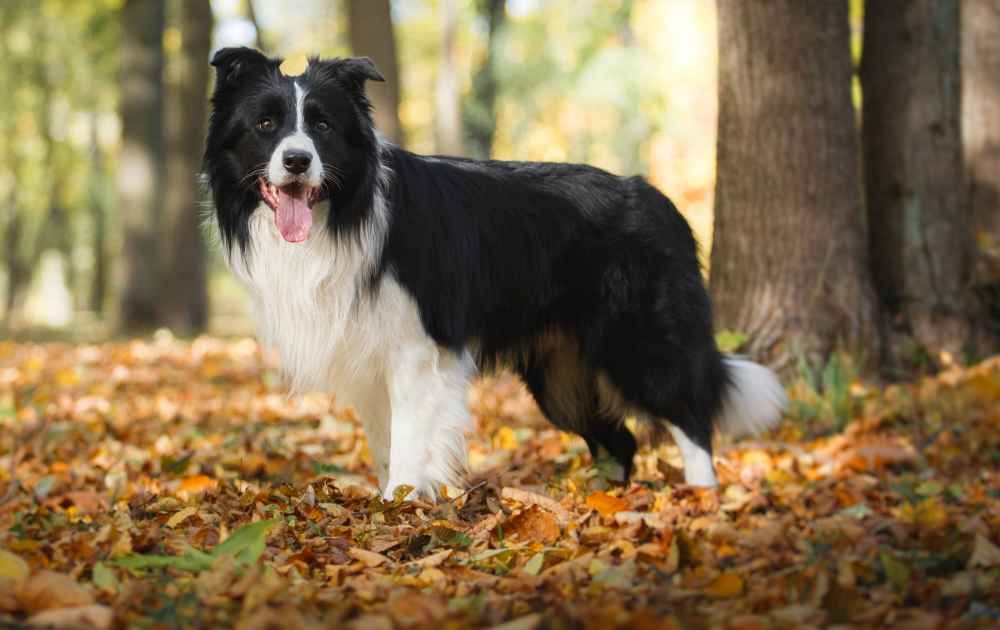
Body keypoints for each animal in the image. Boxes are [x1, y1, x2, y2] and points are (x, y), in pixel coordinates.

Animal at [199, 49, 784, 502]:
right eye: (266, 125)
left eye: (322, 125)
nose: (297, 161)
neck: (343, 213)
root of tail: (657, 198)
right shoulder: (367, 356)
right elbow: (385, 443)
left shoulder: (416, 350)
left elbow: (409, 442)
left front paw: (400, 506)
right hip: (561, 376)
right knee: (620, 441)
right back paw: (604, 505)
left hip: (640, 340)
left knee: (690, 418)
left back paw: (702, 499)